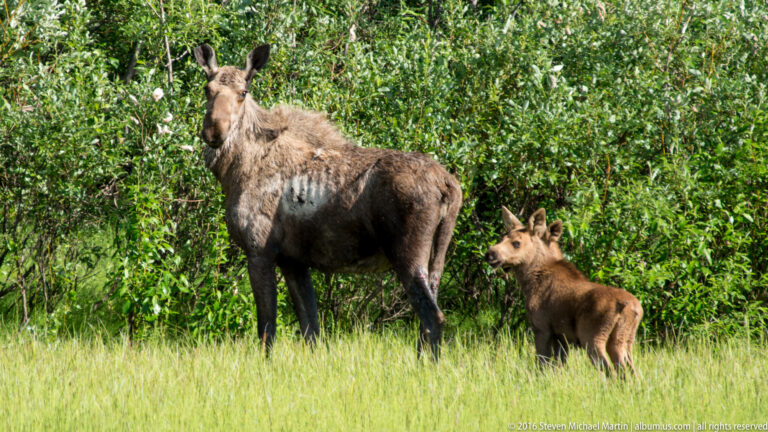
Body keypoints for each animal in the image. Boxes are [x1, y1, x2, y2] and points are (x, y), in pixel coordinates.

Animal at [192, 43, 462, 358]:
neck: (233, 171)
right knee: (428, 315)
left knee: (433, 316)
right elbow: (311, 327)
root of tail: (450, 186)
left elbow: (267, 328)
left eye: (243, 92)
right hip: (437, 257)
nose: (214, 131)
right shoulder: (292, 260)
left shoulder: (259, 250)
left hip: (407, 253)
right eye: (207, 89)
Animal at [485, 207, 642, 376]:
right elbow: (558, 366)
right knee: (629, 371)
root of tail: (632, 308)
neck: (529, 283)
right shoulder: (561, 337)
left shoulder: (542, 327)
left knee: (610, 370)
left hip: (593, 337)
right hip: (624, 339)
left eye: (516, 243)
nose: (490, 254)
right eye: (502, 237)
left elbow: (541, 363)